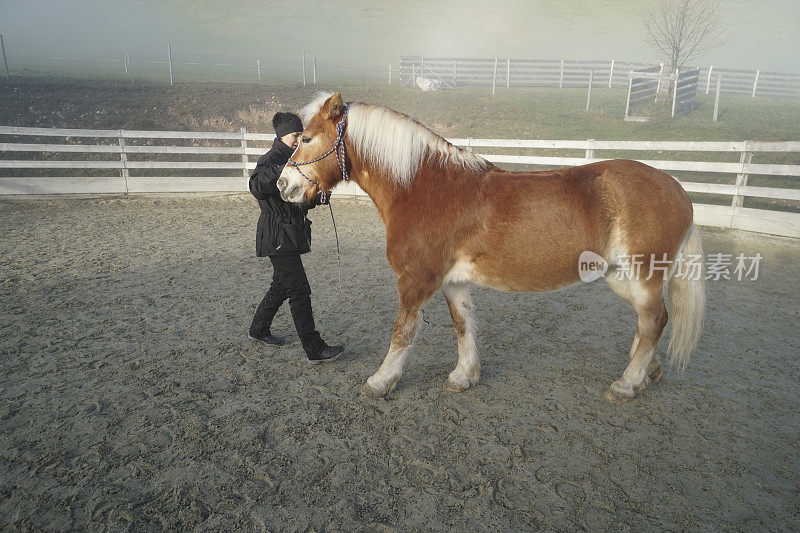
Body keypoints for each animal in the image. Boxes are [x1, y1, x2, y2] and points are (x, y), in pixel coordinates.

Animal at [278, 91, 704, 402]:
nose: (284, 185)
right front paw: (463, 376)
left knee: (653, 321)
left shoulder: (416, 280)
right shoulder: (452, 281)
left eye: (307, 138)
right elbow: (463, 325)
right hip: (621, 276)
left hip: (643, 274)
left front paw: (381, 381)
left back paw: (628, 383)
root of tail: (679, 190)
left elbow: (403, 332)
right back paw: (647, 371)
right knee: (652, 322)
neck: (424, 188)